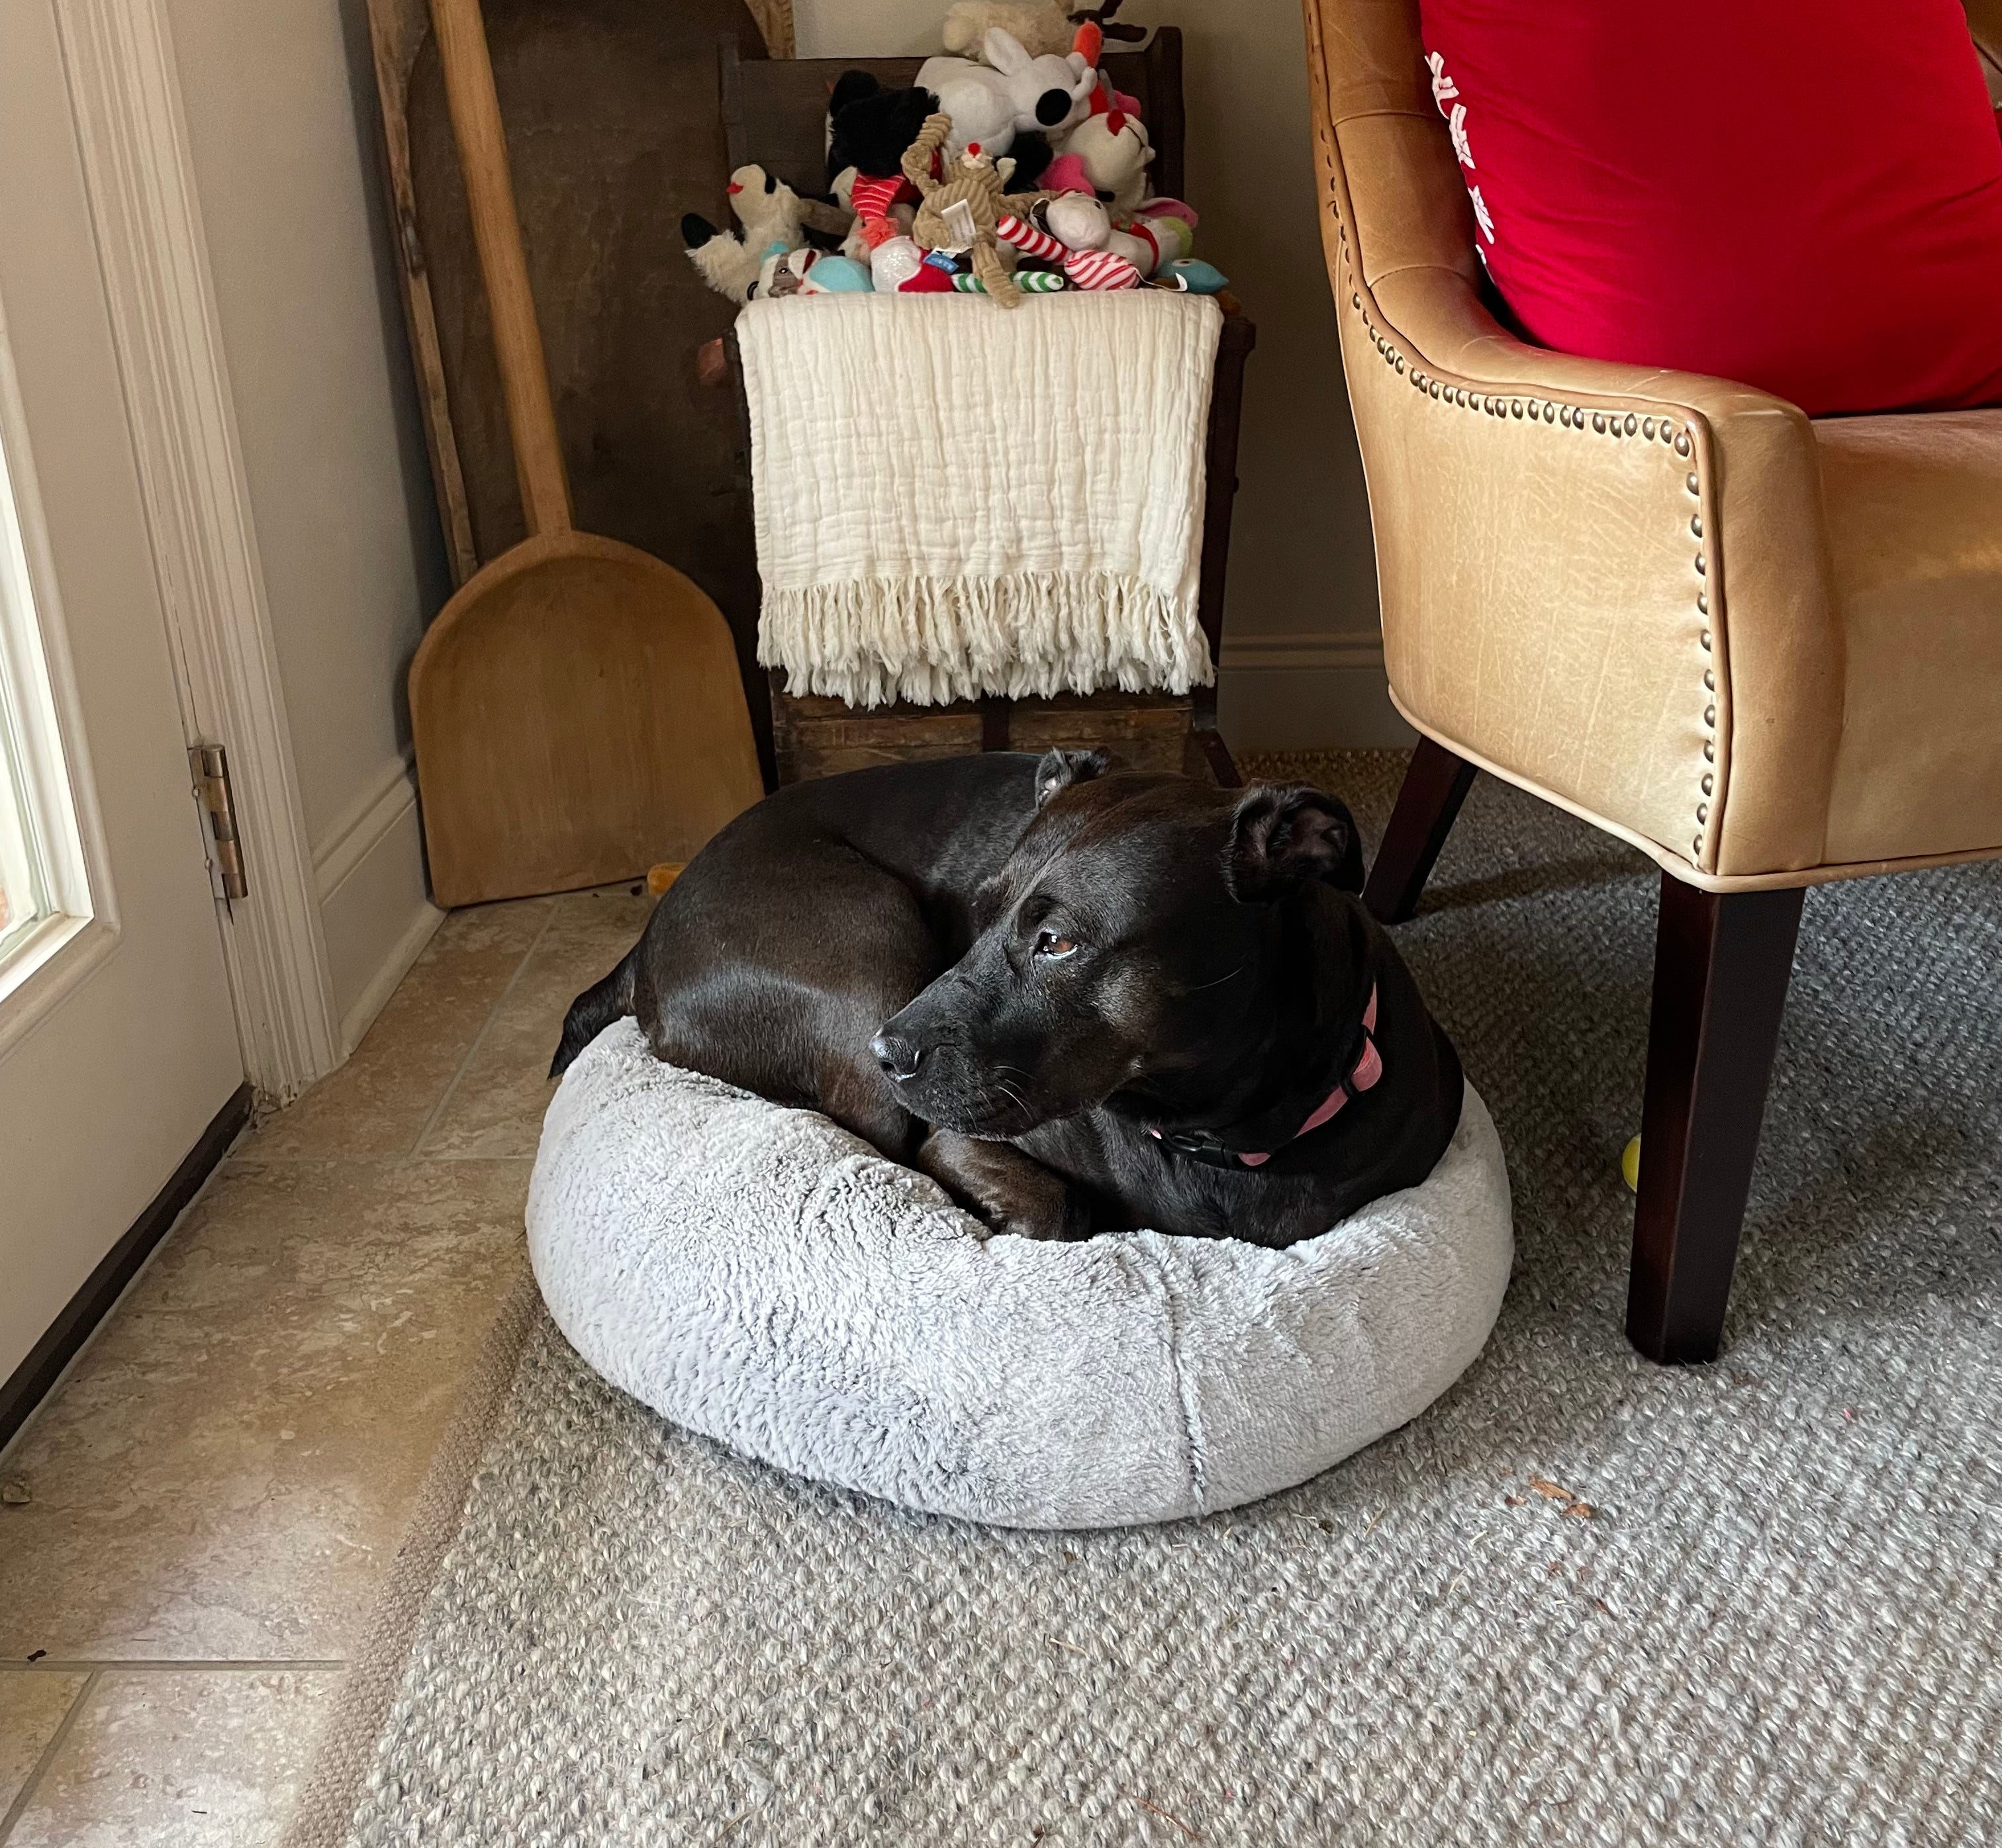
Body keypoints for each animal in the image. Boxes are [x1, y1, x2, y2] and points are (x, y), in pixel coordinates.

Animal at [554, 752, 1463, 1247]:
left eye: (1057, 941)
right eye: (979, 913)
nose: (890, 1053)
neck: (1224, 1132)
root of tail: (645, 944)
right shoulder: (963, 1139)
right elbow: (1056, 1208)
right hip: (868, 947)